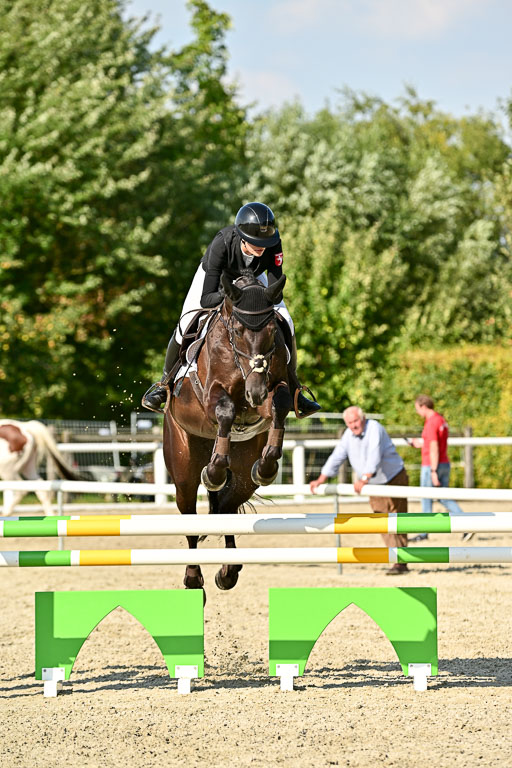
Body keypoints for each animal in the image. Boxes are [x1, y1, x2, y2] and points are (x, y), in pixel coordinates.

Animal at [163, 271, 293, 594]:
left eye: (272, 330)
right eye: (237, 329)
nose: (255, 392)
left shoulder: (272, 390)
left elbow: (281, 404)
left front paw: (268, 465)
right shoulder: (209, 397)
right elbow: (225, 411)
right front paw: (214, 471)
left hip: (244, 475)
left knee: (225, 507)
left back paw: (228, 571)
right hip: (183, 470)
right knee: (190, 517)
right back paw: (193, 578)